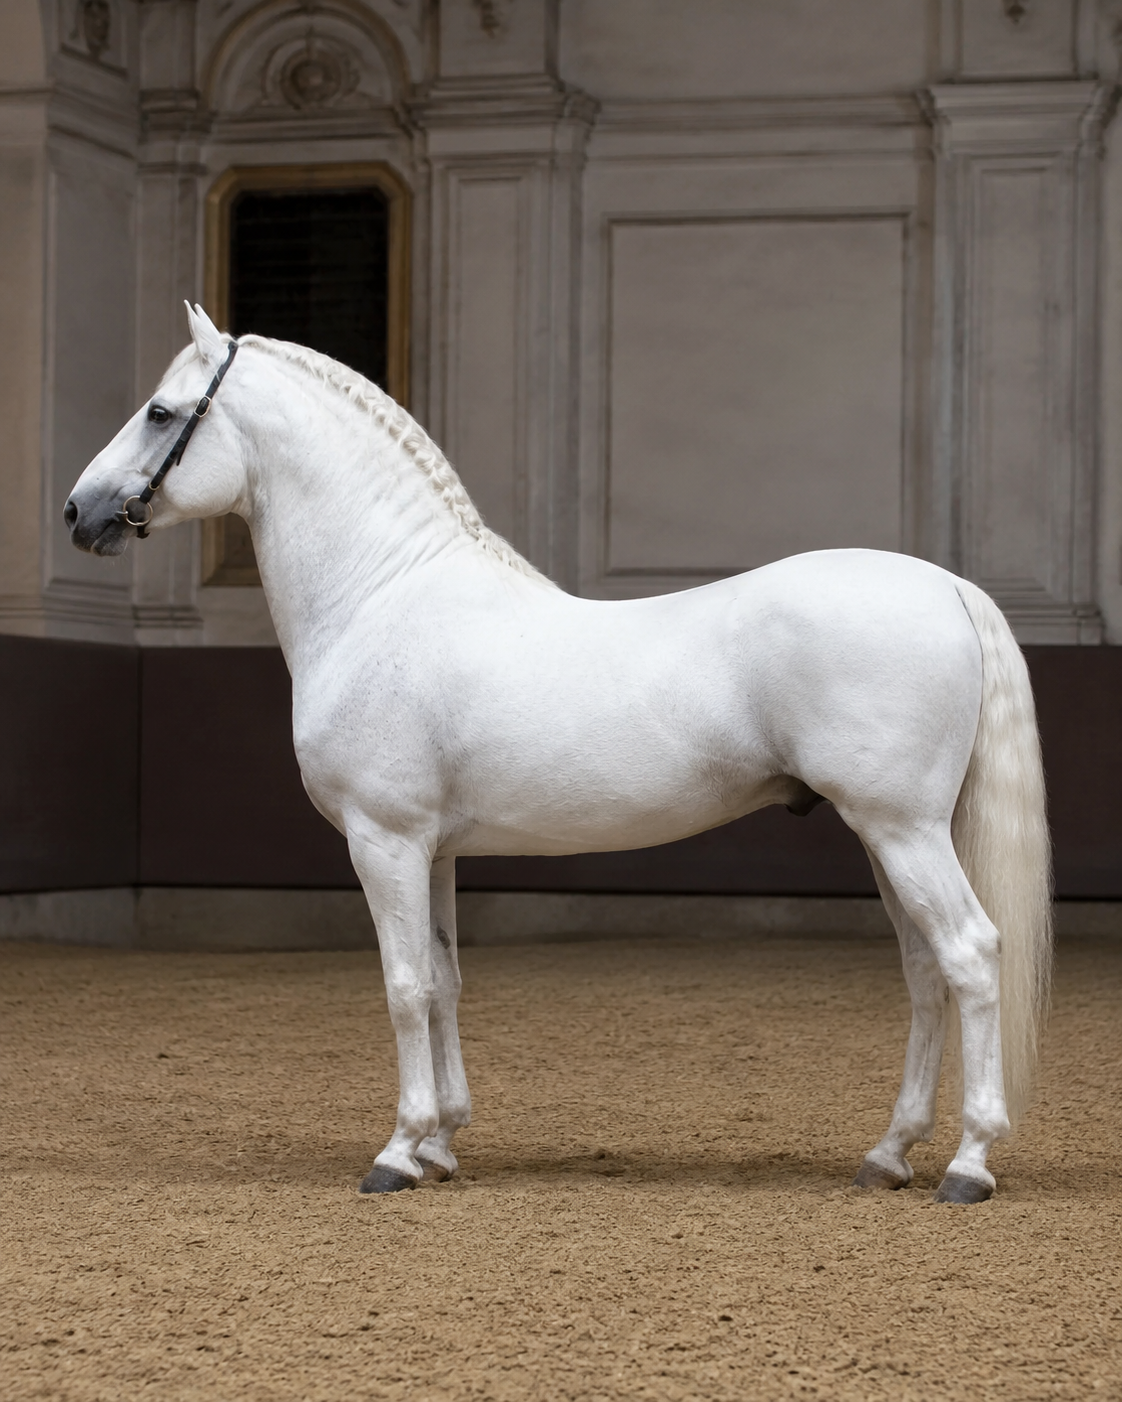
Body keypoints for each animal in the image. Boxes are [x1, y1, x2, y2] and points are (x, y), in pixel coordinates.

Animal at [65, 304, 1052, 1204]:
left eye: (160, 412)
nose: (80, 512)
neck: (383, 594)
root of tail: (946, 584)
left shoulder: (384, 840)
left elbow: (403, 985)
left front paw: (399, 1152)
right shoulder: (435, 850)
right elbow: (444, 980)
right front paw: (441, 1146)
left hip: (901, 830)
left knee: (969, 956)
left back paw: (968, 1165)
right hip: (889, 834)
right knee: (924, 973)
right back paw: (888, 1155)